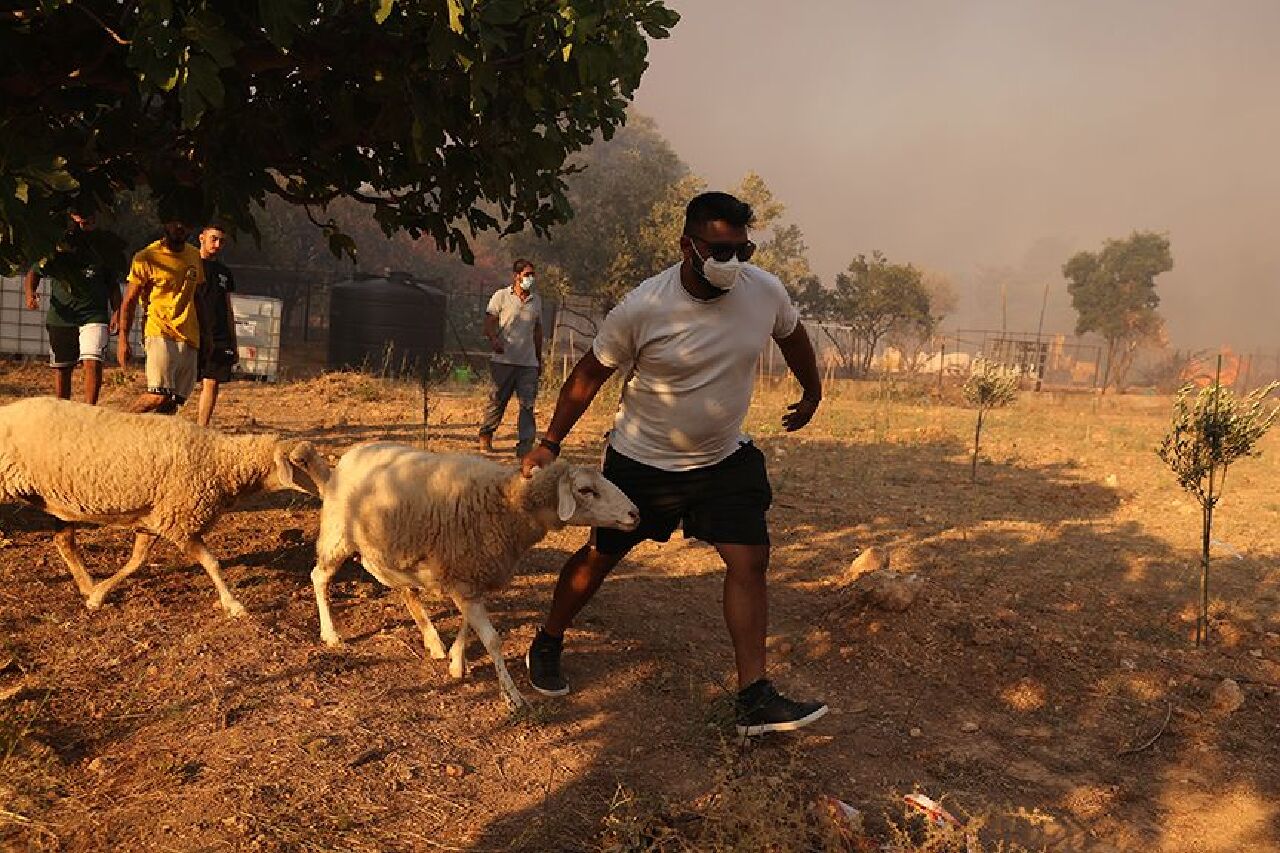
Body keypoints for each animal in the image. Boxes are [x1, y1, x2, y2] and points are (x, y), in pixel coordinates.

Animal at [0, 394, 327, 614]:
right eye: (301, 463)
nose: (330, 486)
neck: (221, 461)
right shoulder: (180, 522)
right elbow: (212, 563)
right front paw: (234, 604)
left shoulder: (157, 519)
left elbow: (136, 561)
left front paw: (98, 596)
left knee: (63, 541)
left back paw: (86, 584)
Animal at [311, 440, 640, 706]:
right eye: (586, 490)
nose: (635, 514)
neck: (508, 503)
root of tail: (352, 452)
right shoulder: (464, 578)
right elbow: (492, 640)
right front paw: (513, 696)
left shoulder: (468, 576)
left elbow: (468, 625)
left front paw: (457, 661)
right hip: (338, 535)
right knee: (319, 577)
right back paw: (330, 633)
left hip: (384, 547)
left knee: (403, 588)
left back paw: (433, 641)